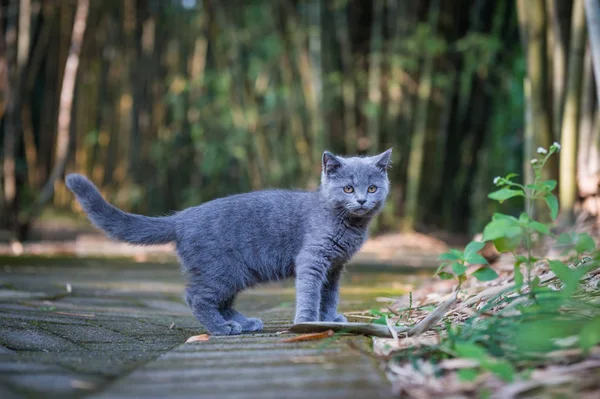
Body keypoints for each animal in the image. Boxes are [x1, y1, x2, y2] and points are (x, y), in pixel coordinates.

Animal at [67, 148, 394, 336]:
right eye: (348, 188)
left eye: (372, 188)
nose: (362, 200)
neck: (347, 224)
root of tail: (182, 218)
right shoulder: (312, 259)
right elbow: (311, 292)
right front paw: (307, 321)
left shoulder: (335, 266)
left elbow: (329, 295)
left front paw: (328, 319)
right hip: (223, 269)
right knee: (197, 297)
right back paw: (222, 329)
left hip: (236, 272)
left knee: (220, 300)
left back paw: (244, 322)